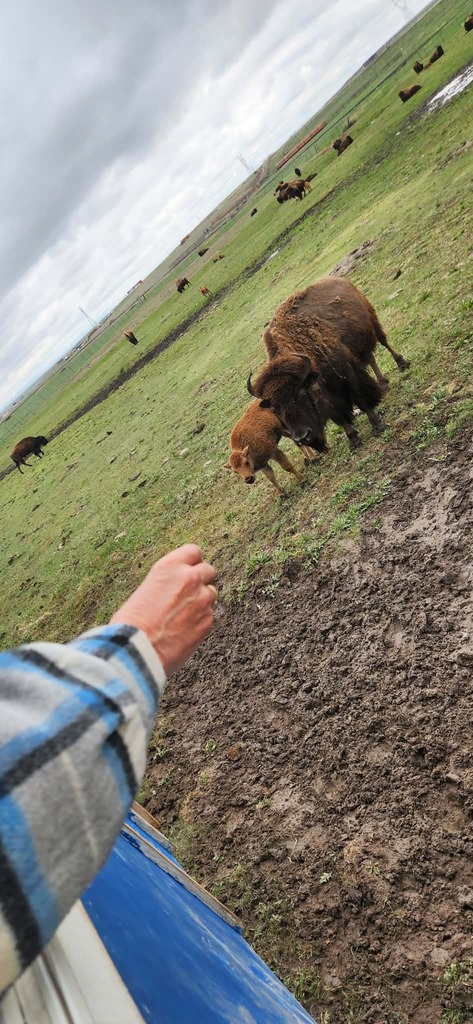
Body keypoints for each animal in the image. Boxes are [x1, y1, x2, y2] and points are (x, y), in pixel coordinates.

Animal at [246, 278, 409, 452]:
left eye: (301, 393)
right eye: (274, 409)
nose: (302, 437)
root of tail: (340, 281)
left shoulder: (347, 373)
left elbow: (361, 400)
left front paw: (377, 425)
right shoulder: (329, 395)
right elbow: (339, 416)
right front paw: (353, 440)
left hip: (372, 322)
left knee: (384, 342)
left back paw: (402, 364)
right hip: (360, 342)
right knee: (370, 358)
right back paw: (383, 384)